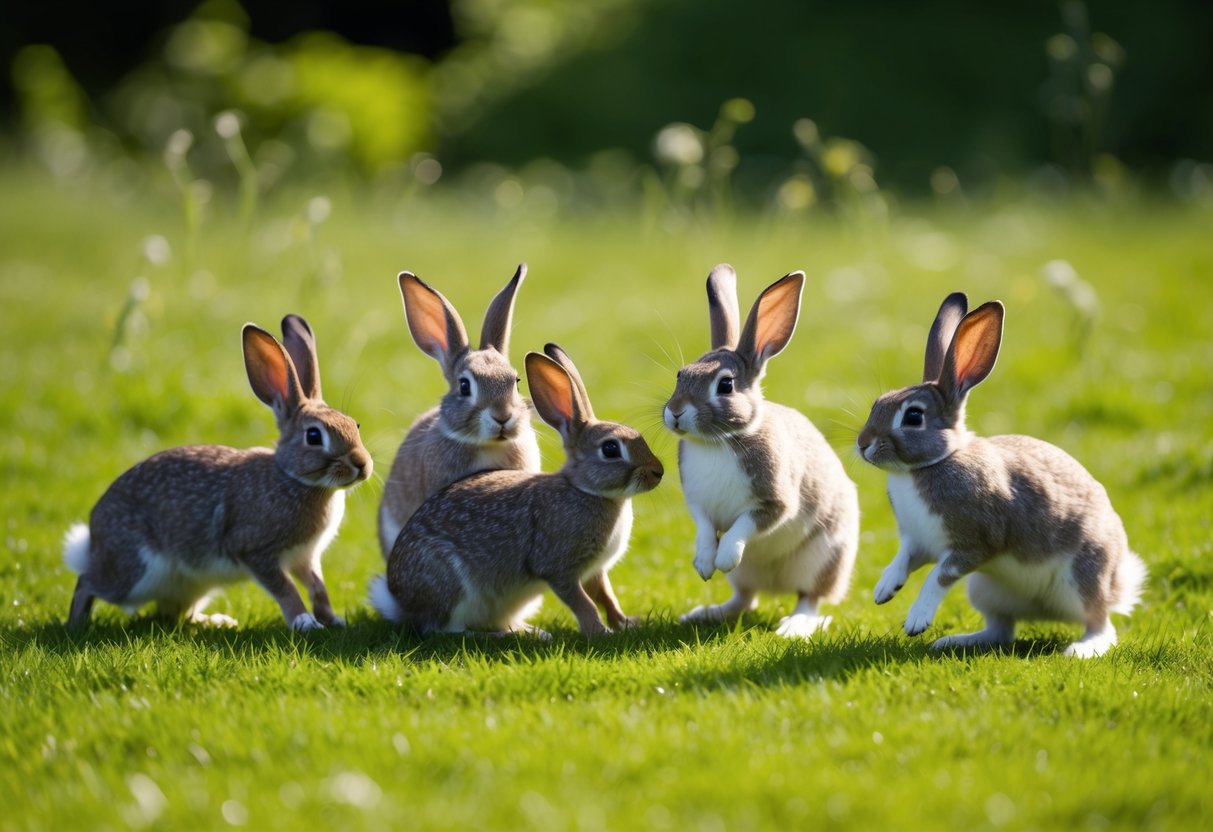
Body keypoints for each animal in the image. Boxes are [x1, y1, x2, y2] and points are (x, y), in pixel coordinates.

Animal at [64, 315, 372, 631]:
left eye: (355, 425)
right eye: (313, 436)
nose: (362, 465)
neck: (293, 479)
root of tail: (94, 537)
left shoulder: (305, 558)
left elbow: (317, 588)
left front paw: (332, 620)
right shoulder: (254, 550)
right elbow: (286, 589)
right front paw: (304, 622)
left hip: (191, 585)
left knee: (175, 612)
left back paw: (218, 621)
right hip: (134, 572)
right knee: (88, 581)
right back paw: (77, 622)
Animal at [370, 343, 664, 637]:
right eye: (611, 449)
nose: (658, 472)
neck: (585, 490)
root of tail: (399, 600)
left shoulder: (595, 571)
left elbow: (605, 595)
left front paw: (626, 623)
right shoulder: (558, 567)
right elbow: (583, 602)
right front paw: (599, 632)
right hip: (452, 584)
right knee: (443, 628)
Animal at [663, 264, 860, 638]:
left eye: (725, 385)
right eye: (680, 375)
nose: (676, 412)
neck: (720, 441)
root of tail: (775, 586)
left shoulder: (775, 500)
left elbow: (746, 523)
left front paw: (723, 556)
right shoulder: (698, 504)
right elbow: (704, 528)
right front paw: (704, 563)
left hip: (823, 559)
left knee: (809, 598)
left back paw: (794, 627)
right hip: (747, 576)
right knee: (744, 599)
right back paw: (702, 614)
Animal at [856, 292, 1147, 657]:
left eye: (912, 417)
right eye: (876, 403)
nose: (862, 444)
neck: (932, 463)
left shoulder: (975, 544)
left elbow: (938, 576)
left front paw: (916, 619)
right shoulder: (918, 540)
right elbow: (903, 559)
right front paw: (884, 589)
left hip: (1083, 577)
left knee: (1100, 621)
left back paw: (1083, 649)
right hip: (985, 589)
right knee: (1001, 630)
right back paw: (953, 641)